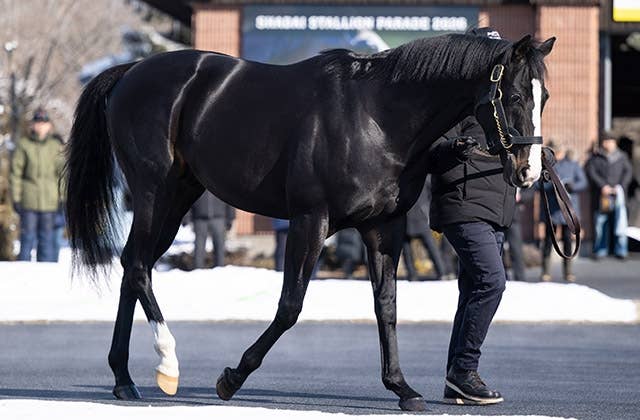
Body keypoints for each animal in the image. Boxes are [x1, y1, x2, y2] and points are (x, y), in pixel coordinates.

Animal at [65, 32, 554, 411]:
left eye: (544, 97)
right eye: (514, 97)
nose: (528, 172)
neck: (378, 116)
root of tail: (131, 71)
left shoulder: (385, 227)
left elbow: (387, 306)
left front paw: (402, 388)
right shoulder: (310, 220)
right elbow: (290, 307)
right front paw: (231, 378)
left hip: (180, 195)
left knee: (134, 265)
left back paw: (124, 379)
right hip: (154, 192)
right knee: (138, 266)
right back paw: (167, 364)